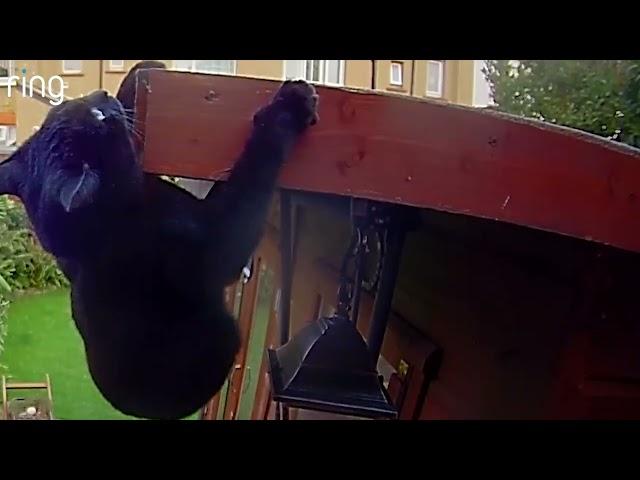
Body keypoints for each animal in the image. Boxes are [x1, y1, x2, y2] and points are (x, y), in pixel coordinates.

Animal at [0, 62, 318, 418]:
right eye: (97, 116)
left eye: (79, 105)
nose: (101, 95)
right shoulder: (219, 242)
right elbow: (254, 171)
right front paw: (289, 107)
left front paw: (142, 70)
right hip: (224, 331)